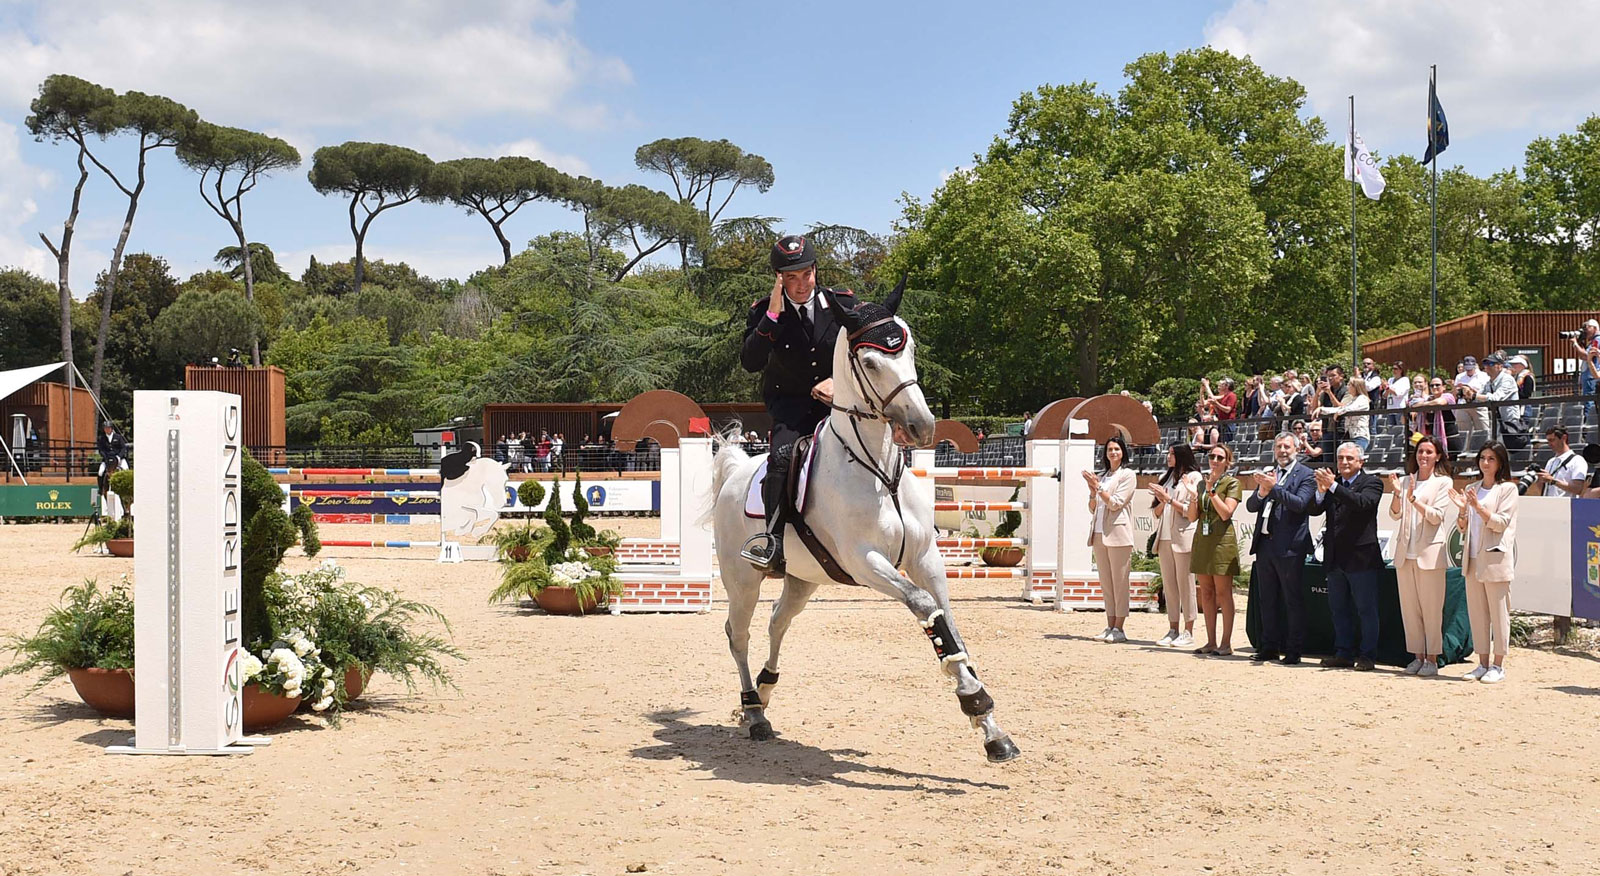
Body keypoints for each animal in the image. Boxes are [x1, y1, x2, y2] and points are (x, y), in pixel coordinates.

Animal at [716, 290, 1024, 764]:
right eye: (871, 361)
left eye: (910, 349)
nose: (922, 426)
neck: (878, 471)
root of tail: (736, 470)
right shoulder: (866, 562)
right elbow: (926, 610)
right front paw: (973, 700)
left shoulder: (926, 559)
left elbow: (950, 623)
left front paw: (992, 729)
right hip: (743, 580)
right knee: (740, 634)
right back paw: (753, 713)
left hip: (803, 579)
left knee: (777, 622)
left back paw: (765, 693)